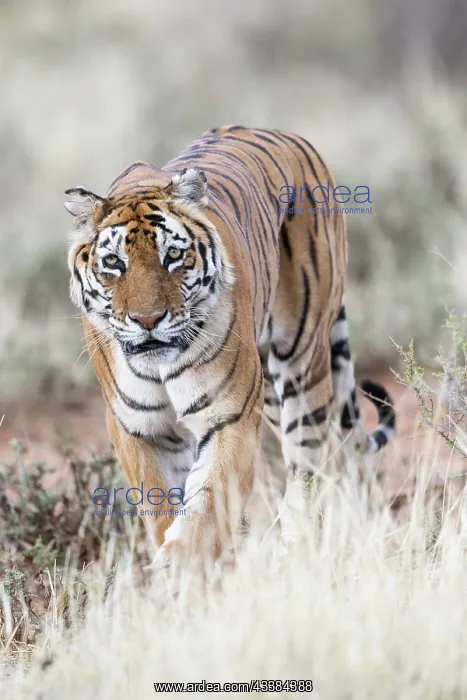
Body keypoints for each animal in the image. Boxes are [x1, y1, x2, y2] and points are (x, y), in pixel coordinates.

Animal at [65, 125, 395, 573]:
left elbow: (207, 506)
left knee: (312, 467)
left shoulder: (229, 417)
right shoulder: (138, 429)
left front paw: (179, 571)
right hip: (269, 390)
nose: (148, 320)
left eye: (173, 255)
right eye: (114, 263)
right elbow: (162, 507)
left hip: (302, 365)